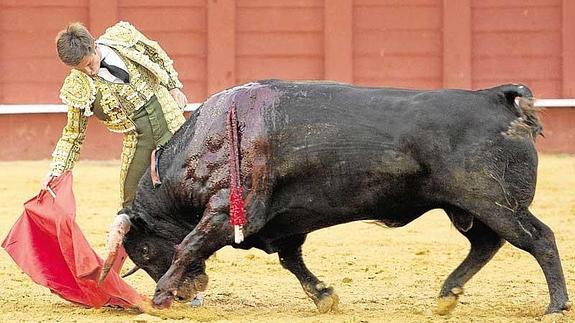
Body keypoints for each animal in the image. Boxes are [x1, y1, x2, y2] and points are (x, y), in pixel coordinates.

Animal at [100, 79, 572, 316]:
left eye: (143, 251)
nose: (188, 294)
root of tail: (497, 98)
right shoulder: (282, 224)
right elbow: (292, 261)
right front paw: (324, 296)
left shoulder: (232, 212)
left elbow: (189, 245)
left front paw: (160, 297)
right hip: (467, 207)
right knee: (486, 244)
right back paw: (445, 296)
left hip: (495, 202)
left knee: (540, 239)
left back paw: (555, 306)